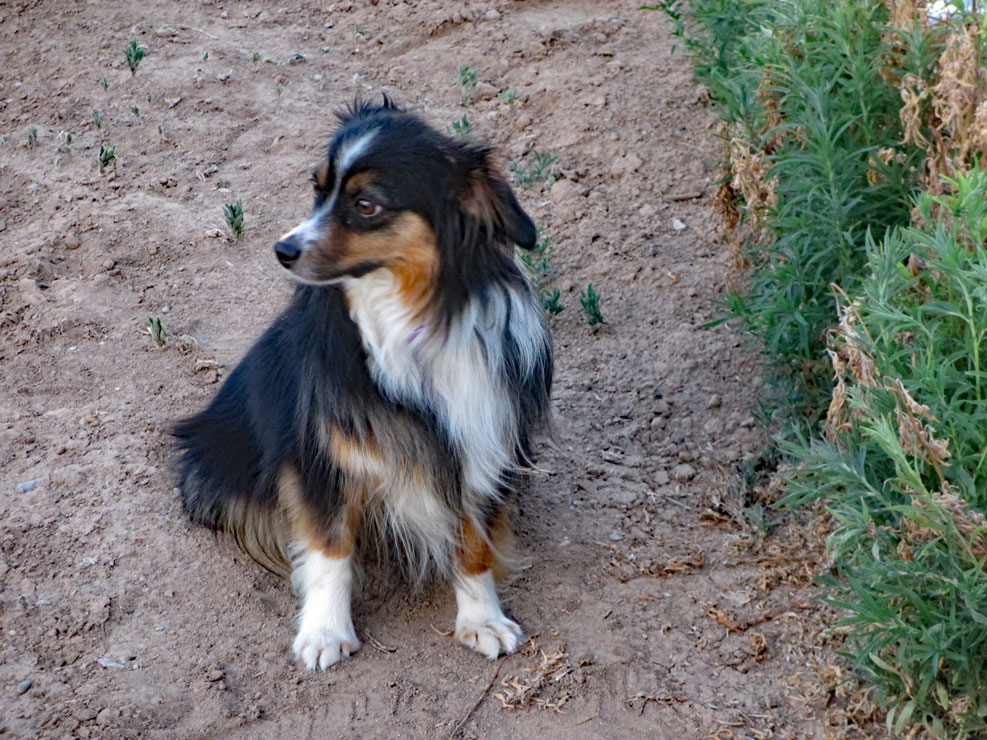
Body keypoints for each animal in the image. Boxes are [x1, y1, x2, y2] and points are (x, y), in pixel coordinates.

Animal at [173, 99, 553, 670]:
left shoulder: (480, 439)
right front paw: (326, 632)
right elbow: (332, 546)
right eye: (317, 187)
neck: (410, 315)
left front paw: (482, 619)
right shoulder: (322, 455)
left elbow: (474, 543)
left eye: (366, 205)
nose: (282, 249)